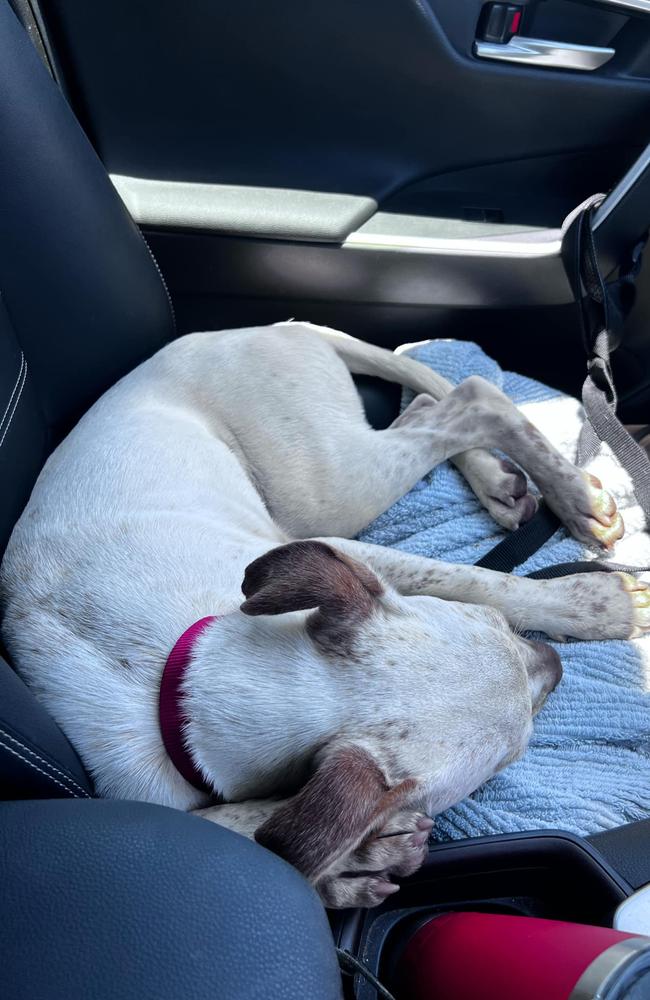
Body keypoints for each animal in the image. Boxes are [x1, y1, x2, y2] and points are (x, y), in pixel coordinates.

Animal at [1, 322, 648, 908]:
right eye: (514, 752)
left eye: (493, 627)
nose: (555, 663)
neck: (181, 678)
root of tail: (256, 327)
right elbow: (261, 832)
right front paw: (354, 861)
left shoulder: (339, 553)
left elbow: (480, 579)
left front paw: (595, 604)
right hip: (336, 480)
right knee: (436, 410)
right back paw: (502, 482)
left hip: (327, 487)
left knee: (467, 399)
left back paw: (571, 495)